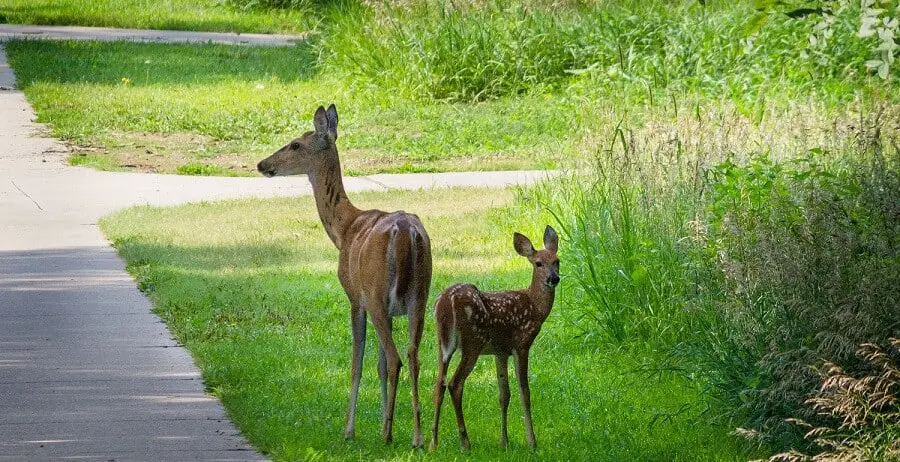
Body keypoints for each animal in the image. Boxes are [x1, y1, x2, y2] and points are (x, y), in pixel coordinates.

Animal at [256, 105, 432, 448]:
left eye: (295, 144)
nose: (262, 164)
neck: (344, 228)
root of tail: (406, 232)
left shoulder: (355, 297)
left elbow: (358, 363)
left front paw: (350, 429)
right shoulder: (393, 307)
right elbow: (377, 365)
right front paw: (381, 420)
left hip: (376, 294)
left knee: (396, 358)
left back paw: (389, 435)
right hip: (421, 295)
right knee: (412, 356)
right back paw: (417, 437)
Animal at [430, 226, 564, 450]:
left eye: (557, 261)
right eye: (538, 263)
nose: (553, 279)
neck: (535, 307)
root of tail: (446, 302)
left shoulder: (500, 351)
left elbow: (504, 395)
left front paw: (504, 442)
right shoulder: (521, 344)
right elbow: (524, 392)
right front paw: (532, 442)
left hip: (442, 343)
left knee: (439, 383)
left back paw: (432, 443)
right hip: (472, 342)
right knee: (455, 384)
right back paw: (465, 442)